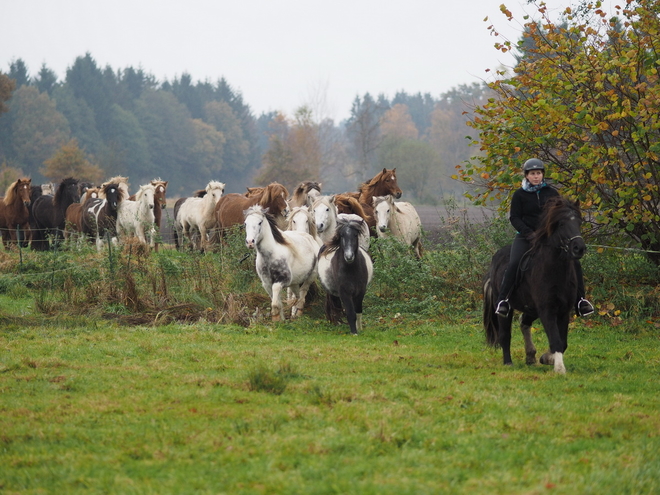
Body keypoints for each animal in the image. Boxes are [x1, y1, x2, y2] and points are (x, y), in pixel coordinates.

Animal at [482, 196, 584, 374]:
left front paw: (548, 358)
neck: (555, 271)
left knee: (524, 321)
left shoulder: (563, 311)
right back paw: (508, 362)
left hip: (532, 308)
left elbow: (562, 342)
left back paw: (530, 355)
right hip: (504, 306)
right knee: (505, 334)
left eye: (579, 222)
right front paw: (558, 368)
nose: (579, 248)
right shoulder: (547, 310)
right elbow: (556, 340)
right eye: (561, 224)